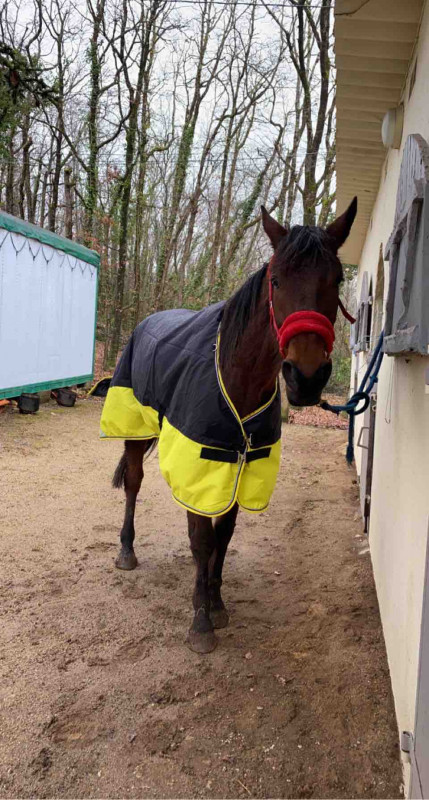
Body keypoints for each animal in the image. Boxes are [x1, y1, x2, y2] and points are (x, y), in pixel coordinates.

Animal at [100, 198, 357, 654]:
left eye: (338, 279)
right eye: (276, 280)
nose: (306, 377)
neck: (237, 378)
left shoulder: (243, 464)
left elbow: (225, 533)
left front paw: (217, 602)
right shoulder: (202, 463)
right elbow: (203, 539)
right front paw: (201, 621)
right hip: (135, 429)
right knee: (133, 482)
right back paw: (126, 551)